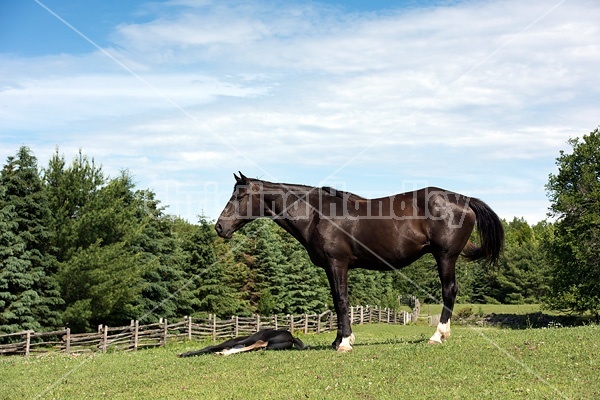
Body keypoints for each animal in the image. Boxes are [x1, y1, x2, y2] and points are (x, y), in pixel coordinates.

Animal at [213, 172, 504, 350]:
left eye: (239, 196)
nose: (219, 227)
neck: (317, 214)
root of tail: (464, 201)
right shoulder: (331, 268)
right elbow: (336, 300)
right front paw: (338, 339)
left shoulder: (338, 263)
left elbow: (342, 300)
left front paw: (344, 343)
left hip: (445, 256)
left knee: (449, 291)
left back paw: (437, 336)